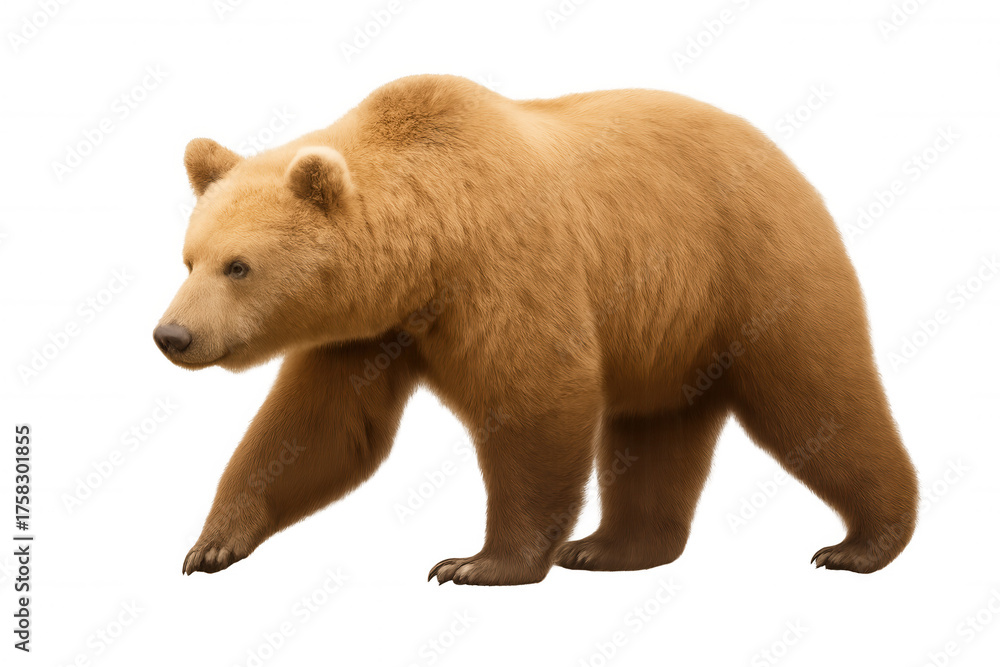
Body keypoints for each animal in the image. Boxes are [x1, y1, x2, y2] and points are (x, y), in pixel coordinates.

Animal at [155, 74, 918, 585]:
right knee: (656, 430)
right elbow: (317, 430)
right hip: (669, 332)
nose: (172, 336)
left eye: (239, 265)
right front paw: (212, 543)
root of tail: (786, 156)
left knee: (817, 397)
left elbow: (534, 396)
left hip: (754, 268)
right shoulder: (369, 332)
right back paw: (612, 546)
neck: (429, 249)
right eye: (189, 257)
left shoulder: (504, 267)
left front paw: (476, 561)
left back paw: (862, 542)